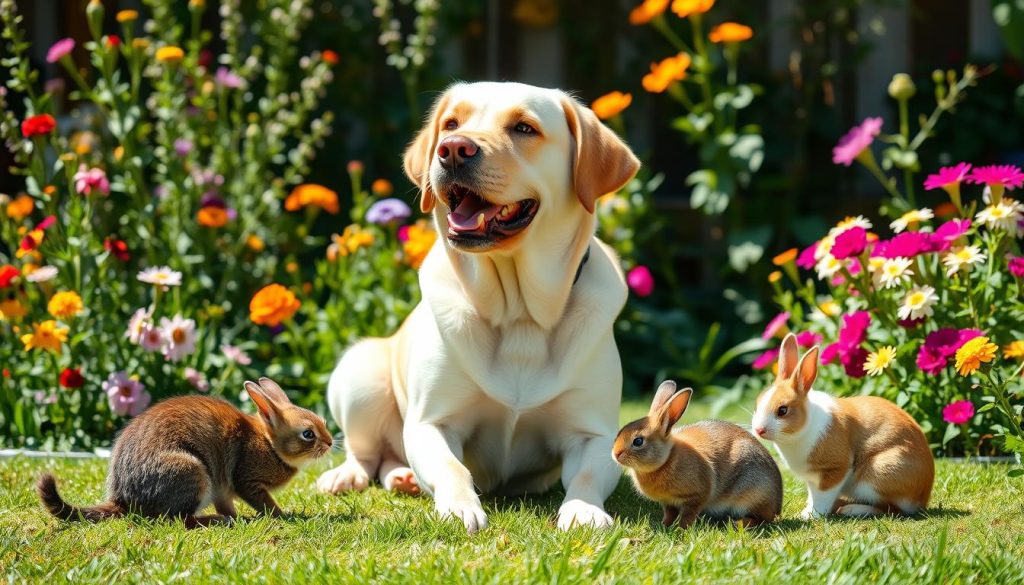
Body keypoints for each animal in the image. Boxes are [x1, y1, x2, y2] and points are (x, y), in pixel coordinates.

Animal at [35, 377, 331, 528]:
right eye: (308, 434)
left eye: (323, 423)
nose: (329, 443)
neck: (269, 443)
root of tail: (124, 500)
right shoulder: (247, 480)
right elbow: (263, 502)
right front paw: (283, 515)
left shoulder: (222, 489)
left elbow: (226, 501)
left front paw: (236, 515)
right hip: (192, 472)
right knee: (178, 519)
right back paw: (216, 520)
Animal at [614, 383, 782, 528]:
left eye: (638, 441)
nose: (615, 454)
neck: (667, 459)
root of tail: (776, 504)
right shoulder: (668, 502)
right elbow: (669, 514)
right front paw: (664, 524)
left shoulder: (697, 496)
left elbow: (688, 514)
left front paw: (681, 528)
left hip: (751, 494)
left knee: (761, 519)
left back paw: (738, 523)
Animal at [753, 331, 937, 520]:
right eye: (758, 403)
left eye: (783, 410)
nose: (759, 430)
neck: (804, 428)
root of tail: (922, 497)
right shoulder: (812, 479)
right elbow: (812, 495)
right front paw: (806, 512)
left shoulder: (834, 470)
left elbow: (822, 497)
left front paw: (812, 516)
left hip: (878, 475)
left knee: (891, 509)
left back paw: (851, 510)